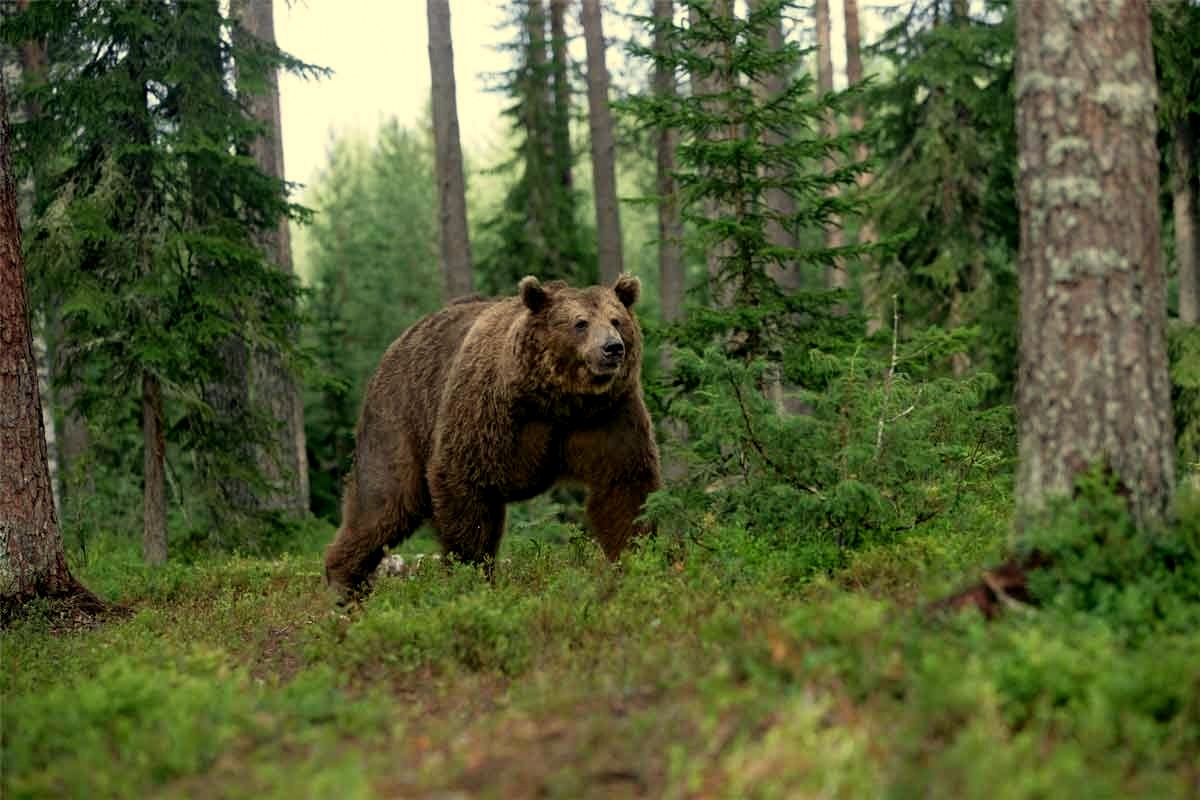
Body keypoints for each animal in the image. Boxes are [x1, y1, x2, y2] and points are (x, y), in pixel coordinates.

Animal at [326, 273, 667, 594]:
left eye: (616, 320)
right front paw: (472, 572)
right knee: (383, 502)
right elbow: (466, 488)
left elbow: (625, 487)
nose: (613, 348)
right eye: (580, 323)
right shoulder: (490, 415)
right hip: (400, 417)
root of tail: (399, 340)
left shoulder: (607, 416)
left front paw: (634, 560)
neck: (559, 401)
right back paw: (344, 583)